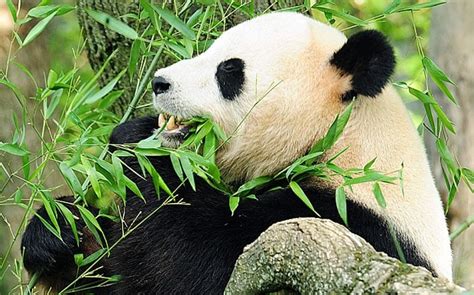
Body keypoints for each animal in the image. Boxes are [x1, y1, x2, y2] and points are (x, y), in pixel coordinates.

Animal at [21, 11, 452, 294]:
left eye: (229, 70)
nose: (159, 82)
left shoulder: (348, 222)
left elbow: (185, 261)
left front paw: (143, 154)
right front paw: (59, 230)